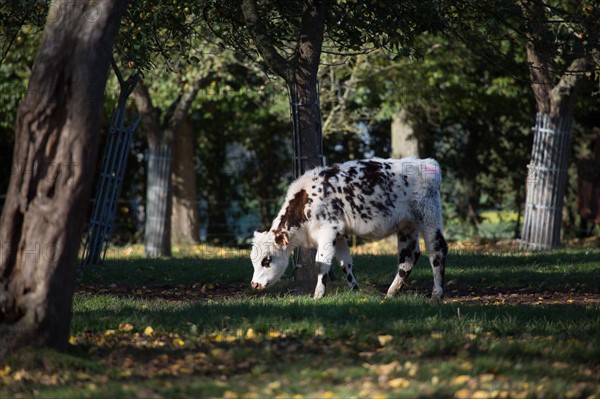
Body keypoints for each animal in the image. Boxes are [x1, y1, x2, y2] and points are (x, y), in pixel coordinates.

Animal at [247, 158, 446, 298]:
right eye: (253, 261)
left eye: (267, 260)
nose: (254, 284)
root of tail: (428, 163)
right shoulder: (340, 234)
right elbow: (345, 263)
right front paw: (354, 290)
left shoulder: (327, 232)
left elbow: (321, 264)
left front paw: (318, 294)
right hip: (407, 226)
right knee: (408, 257)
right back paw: (391, 292)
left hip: (429, 218)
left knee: (437, 250)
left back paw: (437, 294)